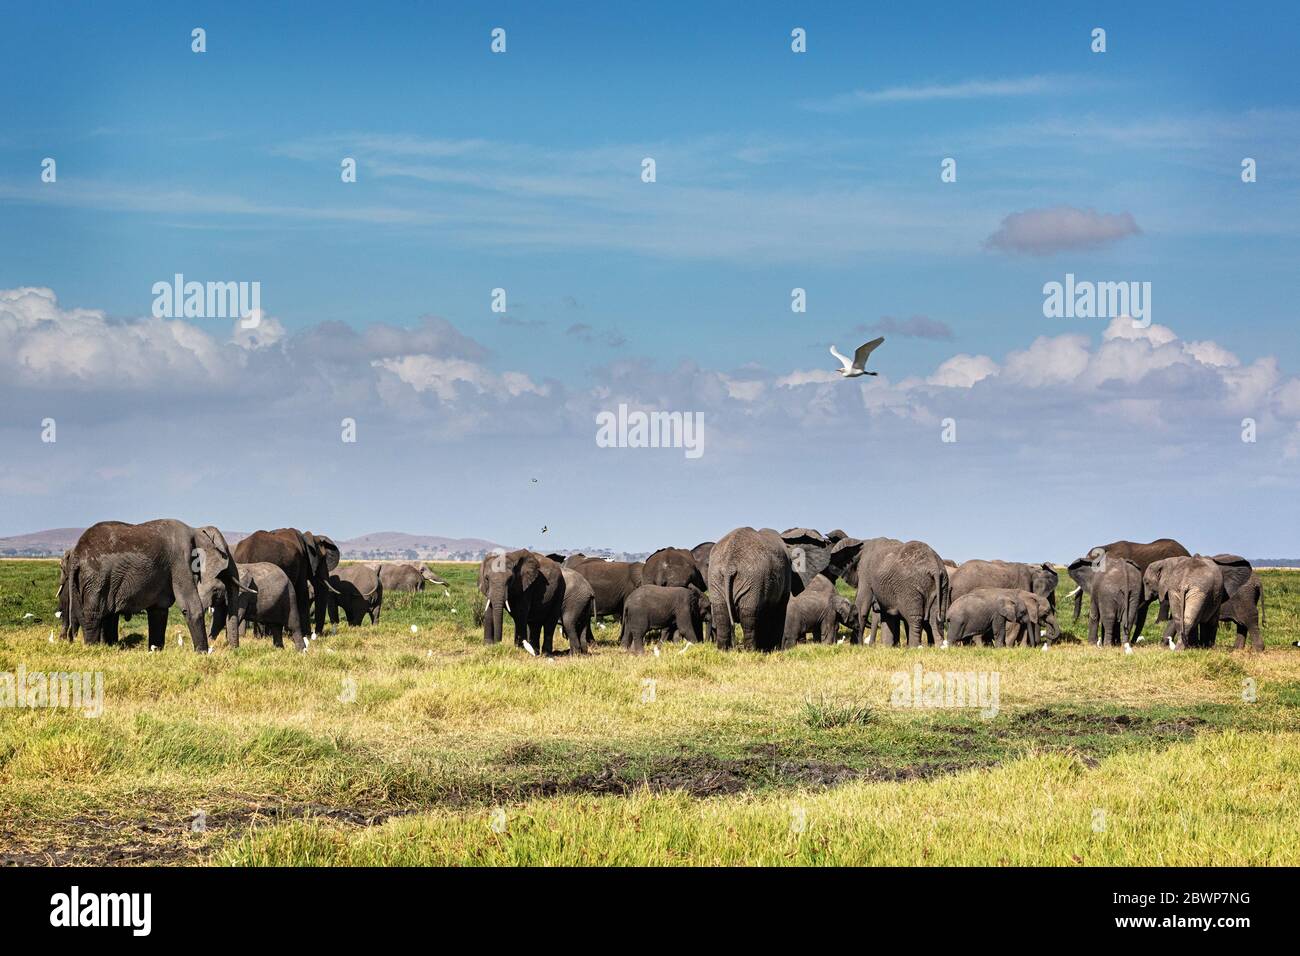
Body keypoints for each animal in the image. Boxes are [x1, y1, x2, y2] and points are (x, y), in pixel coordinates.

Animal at [66, 520, 239, 655]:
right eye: (226, 554)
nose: (234, 650)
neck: (195, 530)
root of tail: (76, 555)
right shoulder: (180, 560)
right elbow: (191, 606)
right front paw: (202, 654)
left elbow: (159, 611)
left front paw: (155, 651)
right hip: (96, 578)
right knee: (93, 614)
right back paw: (93, 649)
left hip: (81, 581)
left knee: (84, 613)